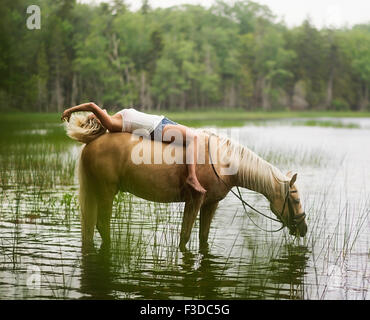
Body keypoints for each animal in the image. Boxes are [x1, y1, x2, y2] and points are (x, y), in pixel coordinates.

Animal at [71, 127, 308, 252]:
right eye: (296, 200)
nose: (304, 229)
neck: (223, 162)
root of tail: (91, 143)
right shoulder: (194, 201)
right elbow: (184, 237)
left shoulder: (210, 204)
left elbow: (203, 238)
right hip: (106, 192)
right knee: (102, 225)